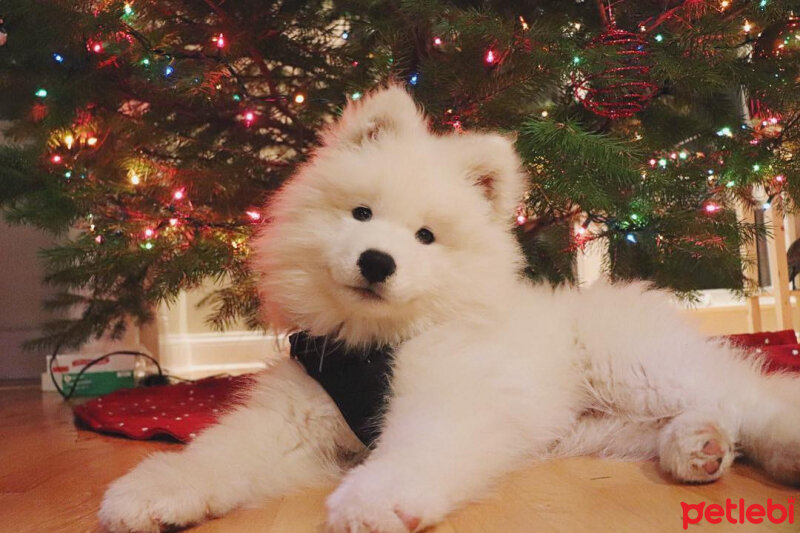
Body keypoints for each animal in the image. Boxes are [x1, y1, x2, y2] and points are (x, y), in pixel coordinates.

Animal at [100, 87, 800, 532]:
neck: (375, 343)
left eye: (426, 237)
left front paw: (376, 499)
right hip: (599, 428)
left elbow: (416, 447)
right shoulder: (293, 418)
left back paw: (773, 445)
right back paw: (699, 446)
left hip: (629, 364)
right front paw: (153, 490)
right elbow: (219, 453)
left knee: (753, 395)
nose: (377, 261)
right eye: (361, 213)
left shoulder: (451, 394)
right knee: (706, 415)